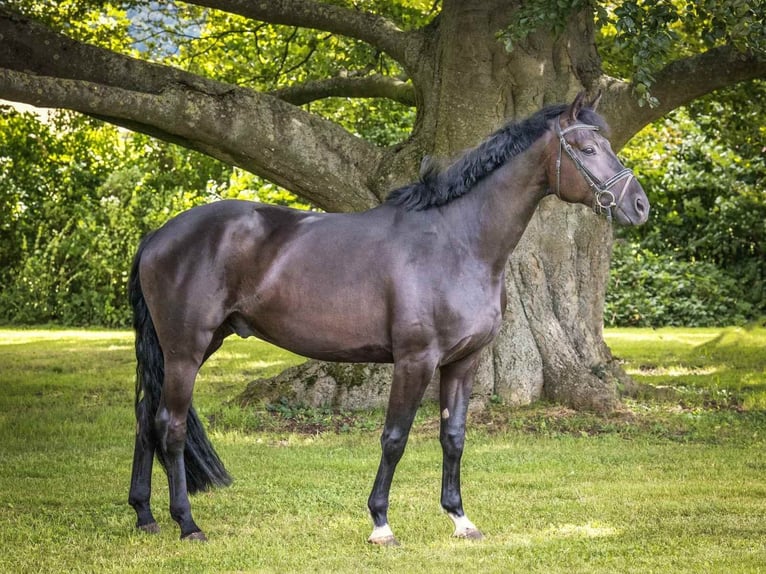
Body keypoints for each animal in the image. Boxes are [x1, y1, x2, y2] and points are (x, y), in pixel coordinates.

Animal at [129, 92, 652, 548]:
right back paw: (187, 524)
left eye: (607, 145)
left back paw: (145, 515)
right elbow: (395, 438)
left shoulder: (463, 362)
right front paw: (381, 524)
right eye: (586, 148)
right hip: (185, 350)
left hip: (186, 349)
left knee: (146, 419)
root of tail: (159, 235)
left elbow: (453, 437)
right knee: (170, 426)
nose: (639, 206)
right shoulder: (415, 360)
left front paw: (460, 519)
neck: (458, 242)